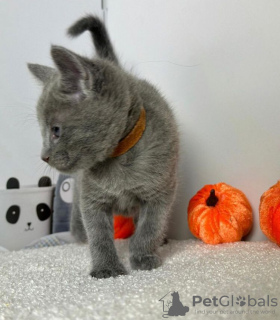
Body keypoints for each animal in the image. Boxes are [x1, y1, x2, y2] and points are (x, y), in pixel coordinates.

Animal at [28, 15, 179, 278]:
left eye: (55, 131)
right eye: (43, 131)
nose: (44, 156)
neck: (119, 158)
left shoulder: (161, 191)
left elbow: (149, 228)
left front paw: (143, 256)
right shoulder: (91, 197)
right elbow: (98, 234)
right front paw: (107, 267)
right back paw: (79, 236)